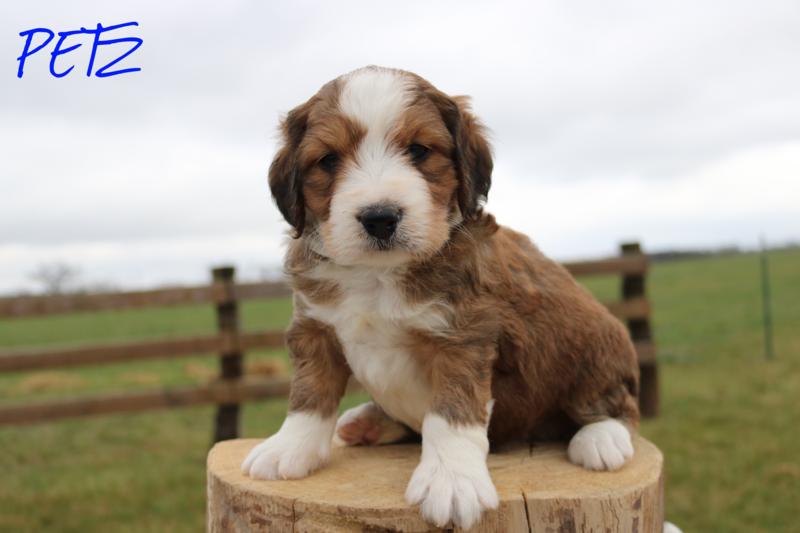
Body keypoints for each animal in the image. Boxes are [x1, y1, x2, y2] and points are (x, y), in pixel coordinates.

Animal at [241, 66, 640, 528]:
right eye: (328, 160)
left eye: (419, 150)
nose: (380, 218)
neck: (377, 275)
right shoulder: (314, 326)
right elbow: (309, 393)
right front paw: (289, 447)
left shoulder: (463, 337)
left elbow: (450, 415)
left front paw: (451, 481)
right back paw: (368, 422)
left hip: (595, 341)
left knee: (618, 403)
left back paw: (601, 438)